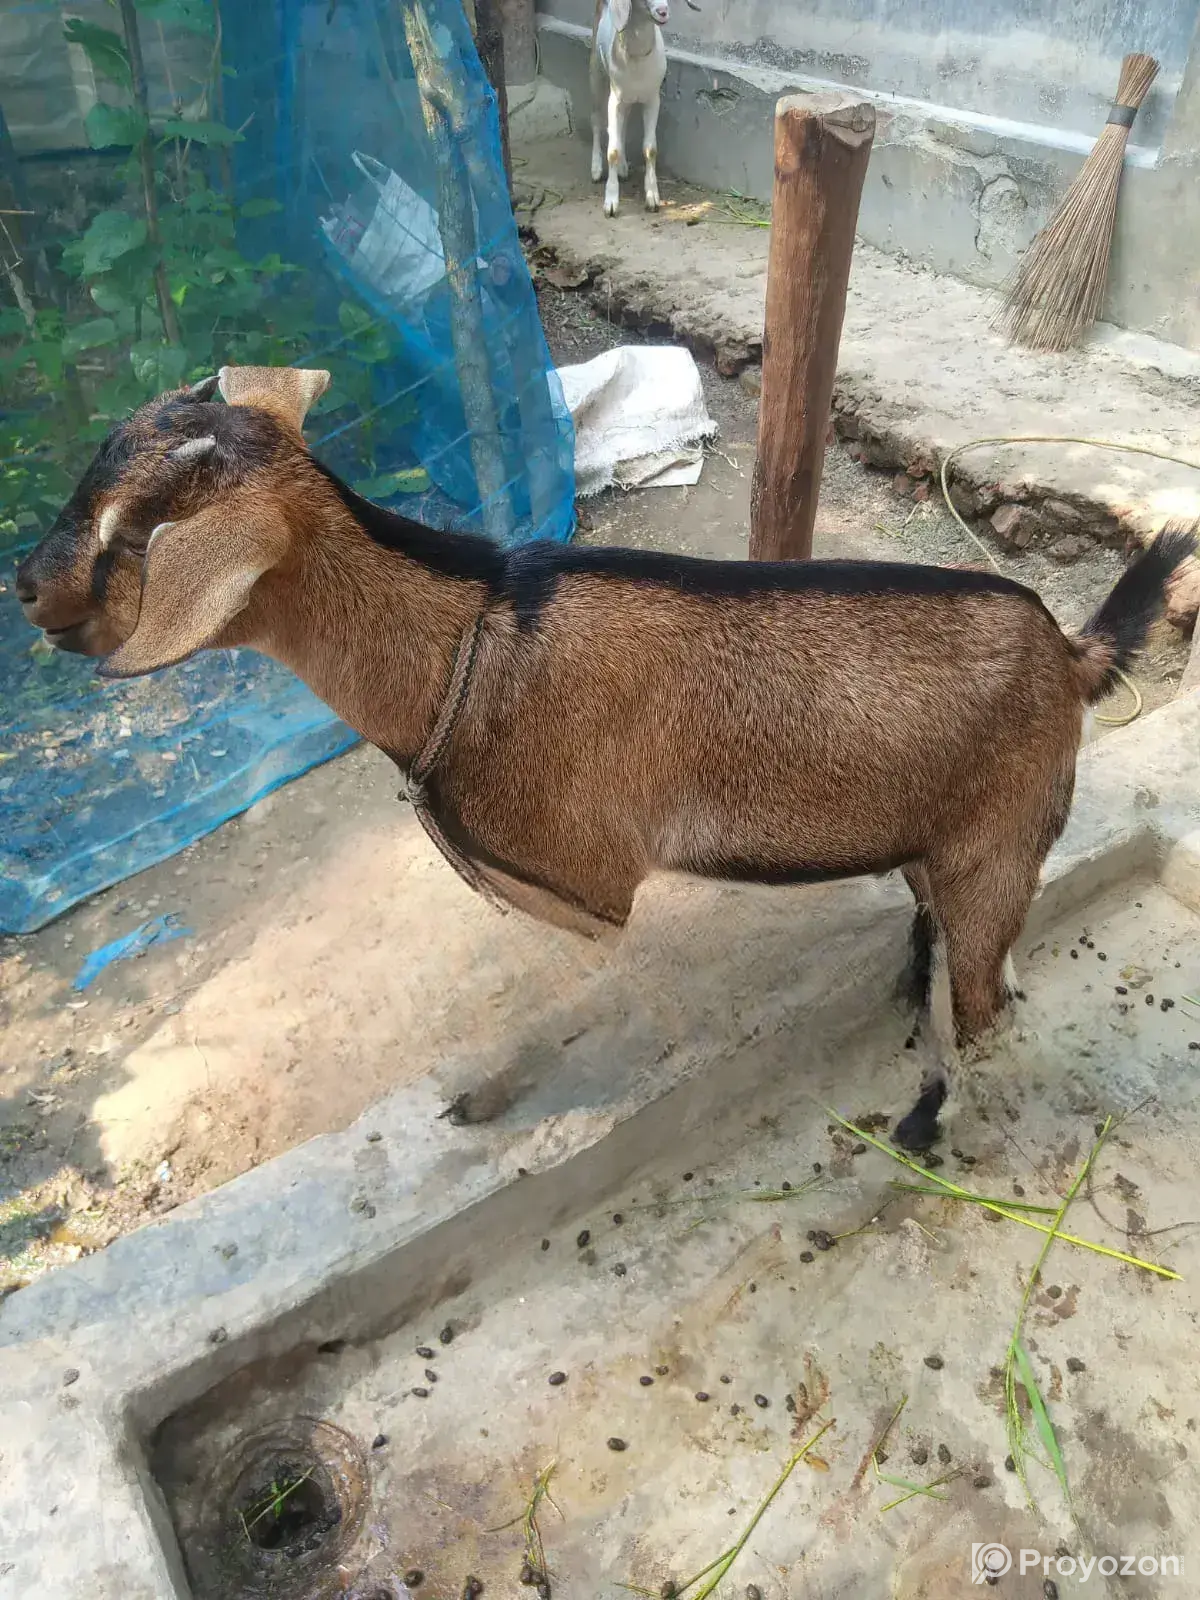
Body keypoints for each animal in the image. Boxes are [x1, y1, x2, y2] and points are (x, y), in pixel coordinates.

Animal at [16, 366, 1194, 1148]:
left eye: (131, 535)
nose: (25, 588)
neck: (465, 638)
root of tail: (1071, 649)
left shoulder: (581, 878)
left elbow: (552, 995)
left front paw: (482, 1098)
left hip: (1000, 837)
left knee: (991, 1002)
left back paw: (929, 1122)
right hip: (947, 836)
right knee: (956, 946)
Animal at [591, 0, 698, 216]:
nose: (663, 12)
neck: (637, 58)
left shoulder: (651, 100)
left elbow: (650, 149)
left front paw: (652, 197)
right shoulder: (615, 100)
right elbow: (612, 150)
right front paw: (611, 202)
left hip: (627, 100)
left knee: (621, 128)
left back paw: (623, 168)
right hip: (597, 76)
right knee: (597, 121)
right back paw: (596, 168)